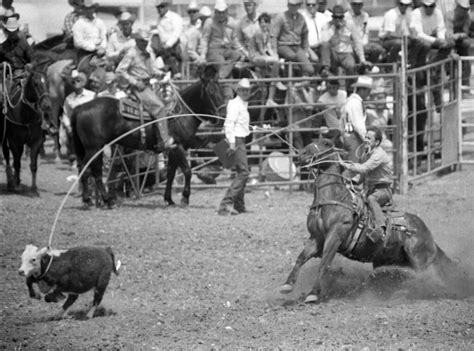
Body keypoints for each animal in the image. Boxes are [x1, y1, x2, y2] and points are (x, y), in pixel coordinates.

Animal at [0, 64, 51, 194]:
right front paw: (17, 185)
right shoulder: (13, 141)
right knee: (7, 155)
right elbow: (17, 162)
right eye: (36, 84)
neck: (26, 115)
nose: (47, 105)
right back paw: (11, 181)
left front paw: (33, 188)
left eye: (48, 82)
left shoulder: (37, 141)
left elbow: (33, 165)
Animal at [71, 65, 225, 209]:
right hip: (94, 148)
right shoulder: (178, 147)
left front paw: (169, 199)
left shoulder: (172, 150)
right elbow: (187, 171)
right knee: (94, 172)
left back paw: (89, 200)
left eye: (222, 90)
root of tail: (81, 107)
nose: (223, 115)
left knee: (85, 171)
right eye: (211, 92)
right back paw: (106, 201)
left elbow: (170, 174)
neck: (180, 114)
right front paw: (185, 198)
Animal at [282, 133, 456, 304]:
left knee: (424, 277)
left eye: (326, 143)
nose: (302, 154)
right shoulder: (316, 238)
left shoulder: (334, 236)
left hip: (419, 258)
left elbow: (324, 263)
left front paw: (313, 294)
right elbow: (301, 258)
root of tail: (428, 235)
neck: (333, 197)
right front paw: (287, 285)